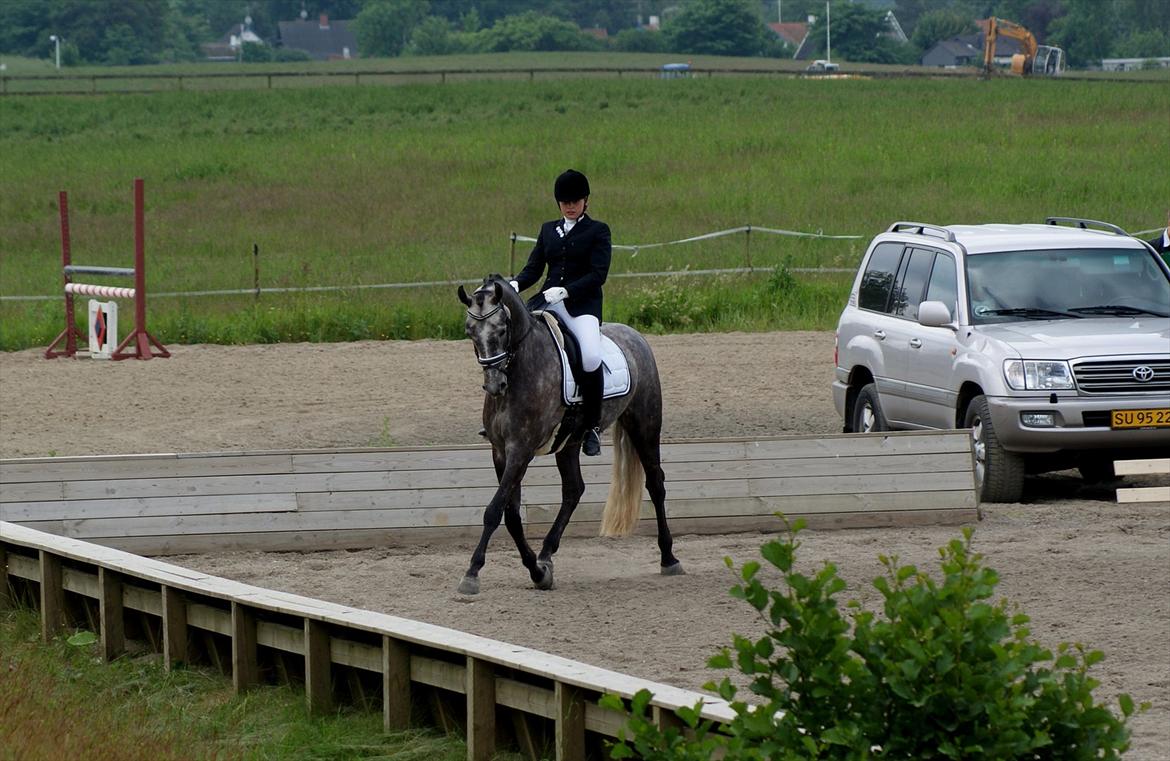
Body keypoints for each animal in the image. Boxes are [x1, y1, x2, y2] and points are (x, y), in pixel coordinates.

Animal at [451, 272, 683, 592]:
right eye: (470, 331)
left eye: (501, 329)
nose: (495, 385)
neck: (521, 368)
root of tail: (634, 335)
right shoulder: (500, 452)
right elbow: (511, 515)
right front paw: (537, 571)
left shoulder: (521, 450)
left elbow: (494, 511)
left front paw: (472, 572)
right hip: (570, 442)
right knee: (574, 490)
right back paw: (546, 554)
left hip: (645, 425)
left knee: (656, 484)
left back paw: (669, 558)